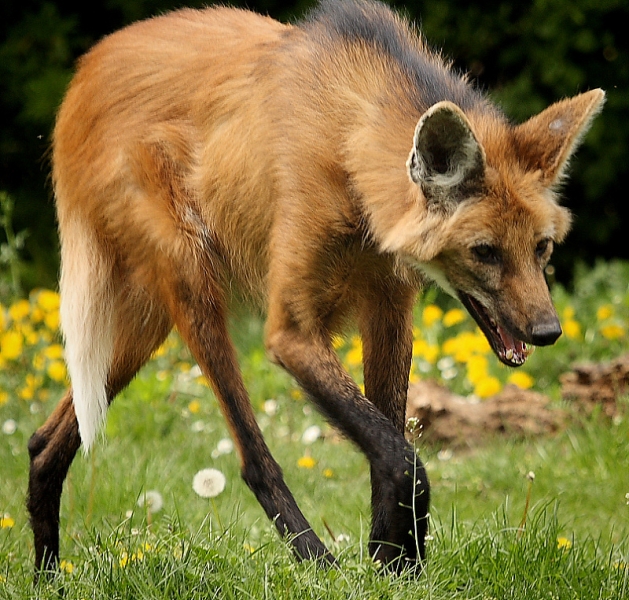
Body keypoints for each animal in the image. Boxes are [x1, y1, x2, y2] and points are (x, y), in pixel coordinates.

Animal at [28, 0, 604, 576]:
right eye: (485, 252)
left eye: (541, 248)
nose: (548, 331)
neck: (348, 146)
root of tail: (82, 80)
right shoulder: (292, 332)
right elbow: (401, 457)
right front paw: (393, 561)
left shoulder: (389, 308)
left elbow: (388, 442)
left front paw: (394, 565)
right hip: (192, 280)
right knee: (252, 458)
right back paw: (316, 561)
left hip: (148, 321)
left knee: (43, 441)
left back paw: (47, 572)